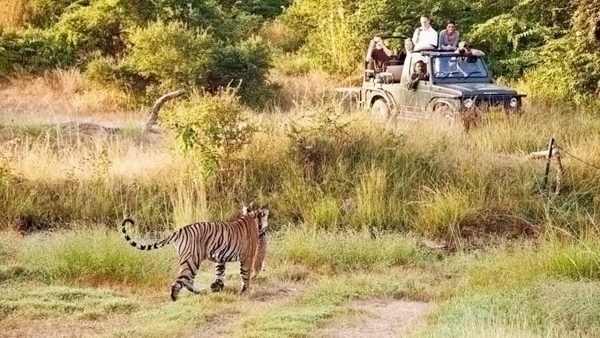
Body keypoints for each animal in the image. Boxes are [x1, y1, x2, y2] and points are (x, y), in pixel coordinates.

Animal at [121, 206, 270, 302]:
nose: (266, 229)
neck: (252, 218)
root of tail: (179, 231)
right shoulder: (247, 257)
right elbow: (245, 275)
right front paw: (246, 291)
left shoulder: (220, 257)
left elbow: (220, 272)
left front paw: (217, 286)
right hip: (192, 260)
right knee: (180, 282)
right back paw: (174, 298)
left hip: (191, 261)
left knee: (188, 281)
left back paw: (200, 292)